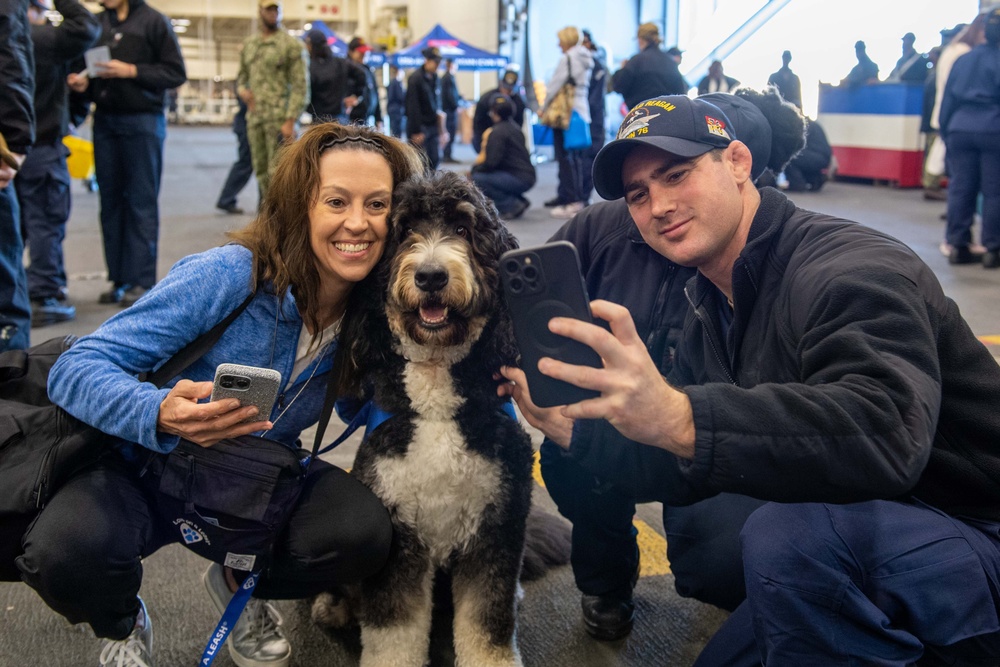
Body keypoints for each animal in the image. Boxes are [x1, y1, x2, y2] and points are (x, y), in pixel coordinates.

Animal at [320, 174, 540, 667]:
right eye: (404, 232)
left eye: (463, 229)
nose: (431, 275)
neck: (436, 406)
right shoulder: (398, 535)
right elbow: (395, 632)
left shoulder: (495, 530)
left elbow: (487, 623)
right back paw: (334, 606)